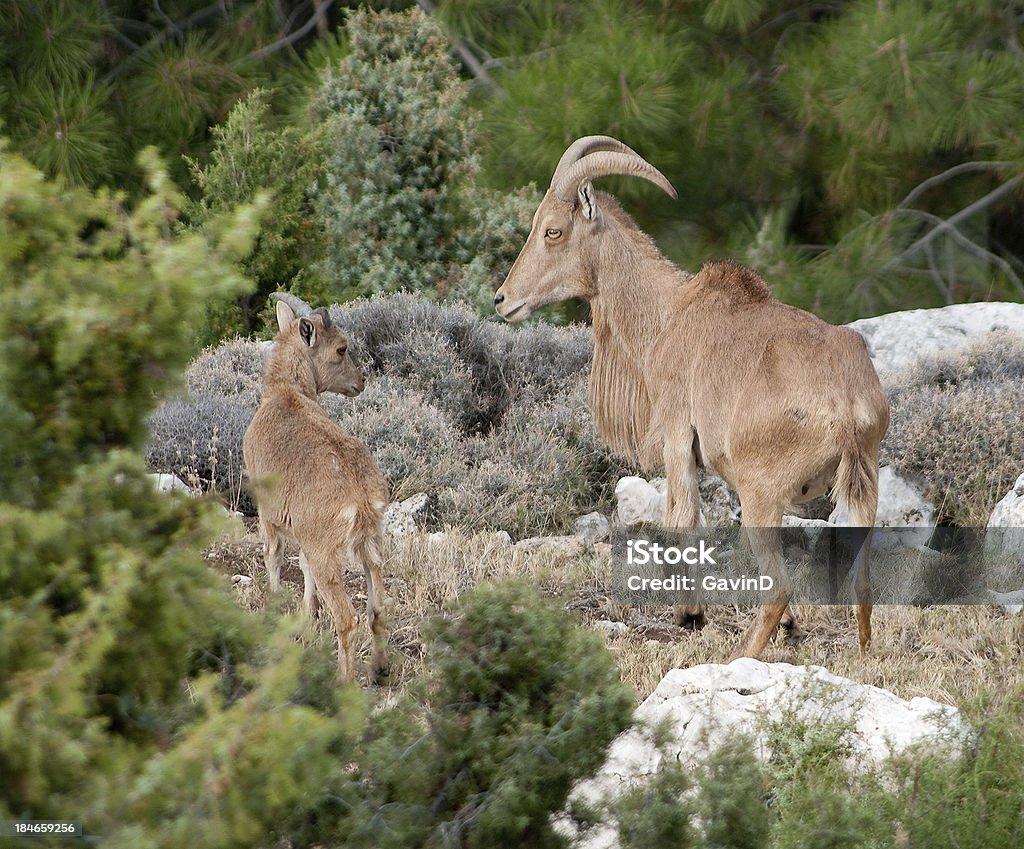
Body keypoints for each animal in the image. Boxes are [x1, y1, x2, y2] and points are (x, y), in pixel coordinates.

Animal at [241, 292, 389, 684]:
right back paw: (380, 669)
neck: (287, 395)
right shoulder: (305, 533)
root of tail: (361, 499)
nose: (361, 380)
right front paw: (309, 617)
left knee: (348, 618)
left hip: (329, 554)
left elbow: (273, 555)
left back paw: (345, 681)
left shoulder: (267, 510)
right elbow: (302, 565)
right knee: (378, 608)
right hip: (370, 544)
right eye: (342, 348)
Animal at [493, 136, 888, 659]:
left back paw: (739, 657)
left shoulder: (677, 436)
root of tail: (845, 408)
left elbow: (681, 517)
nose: (502, 299)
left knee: (779, 587)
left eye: (553, 231)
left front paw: (690, 614)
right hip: (862, 488)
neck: (666, 314)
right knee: (862, 585)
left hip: (760, 494)